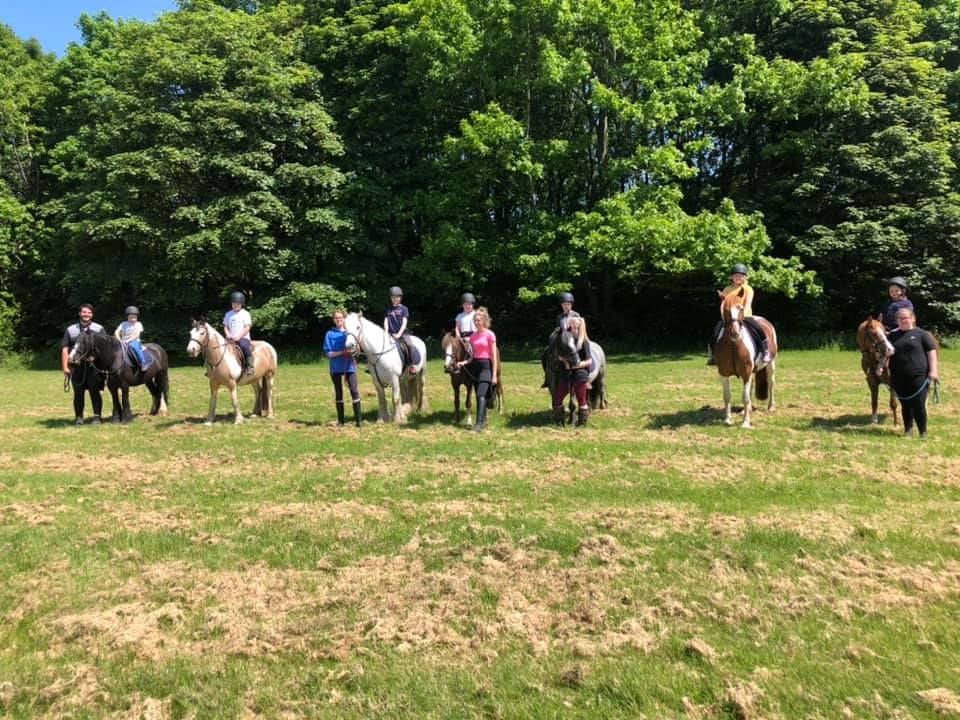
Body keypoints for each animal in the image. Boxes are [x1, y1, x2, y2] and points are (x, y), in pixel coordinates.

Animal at [716, 288, 776, 428]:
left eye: (741, 308)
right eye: (725, 309)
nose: (735, 333)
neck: (733, 344)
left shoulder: (746, 372)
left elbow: (746, 397)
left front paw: (745, 422)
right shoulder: (723, 373)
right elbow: (727, 396)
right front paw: (728, 420)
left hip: (771, 364)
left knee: (771, 383)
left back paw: (771, 407)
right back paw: (745, 410)